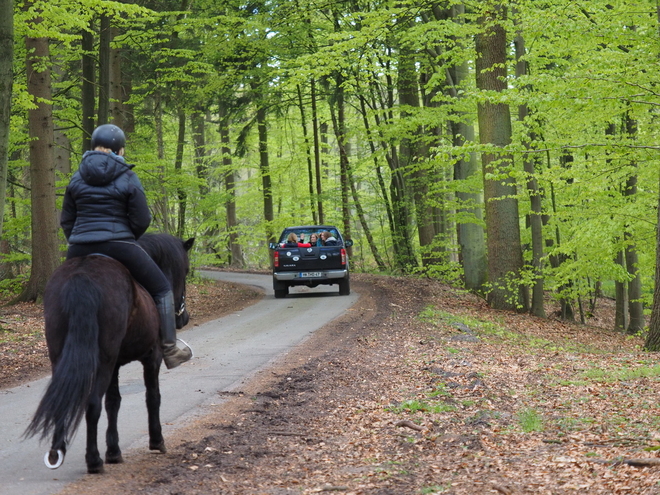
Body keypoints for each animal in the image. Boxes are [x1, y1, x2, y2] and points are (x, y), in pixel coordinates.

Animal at [25, 234, 193, 474]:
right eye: (186, 270)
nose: (184, 318)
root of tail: (82, 275)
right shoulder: (152, 357)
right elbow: (152, 397)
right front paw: (156, 441)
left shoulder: (115, 364)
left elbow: (113, 402)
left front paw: (114, 451)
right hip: (104, 361)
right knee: (92, 403)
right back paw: (93, 460)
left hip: (62, 356)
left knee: (62, 399)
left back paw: (57, 452)